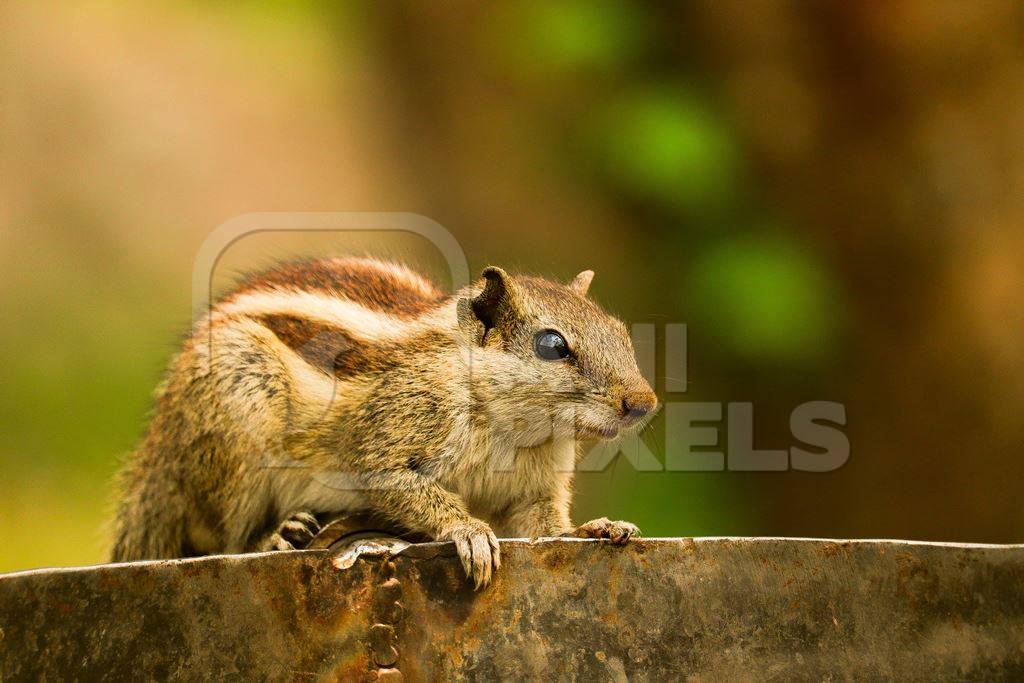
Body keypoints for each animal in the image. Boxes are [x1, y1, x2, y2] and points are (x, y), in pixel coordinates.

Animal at [110, 255, 655, 589]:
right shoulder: (386, 438)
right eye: (552, 345)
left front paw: (594, 528)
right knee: (227, 538)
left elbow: (546, 528)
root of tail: (156, 455)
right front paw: (469, 531)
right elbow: (398, 483)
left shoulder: (534, 489)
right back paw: (275, 536)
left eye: (620, 333)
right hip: (238, 415)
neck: (512, 427)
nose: (644, 403)